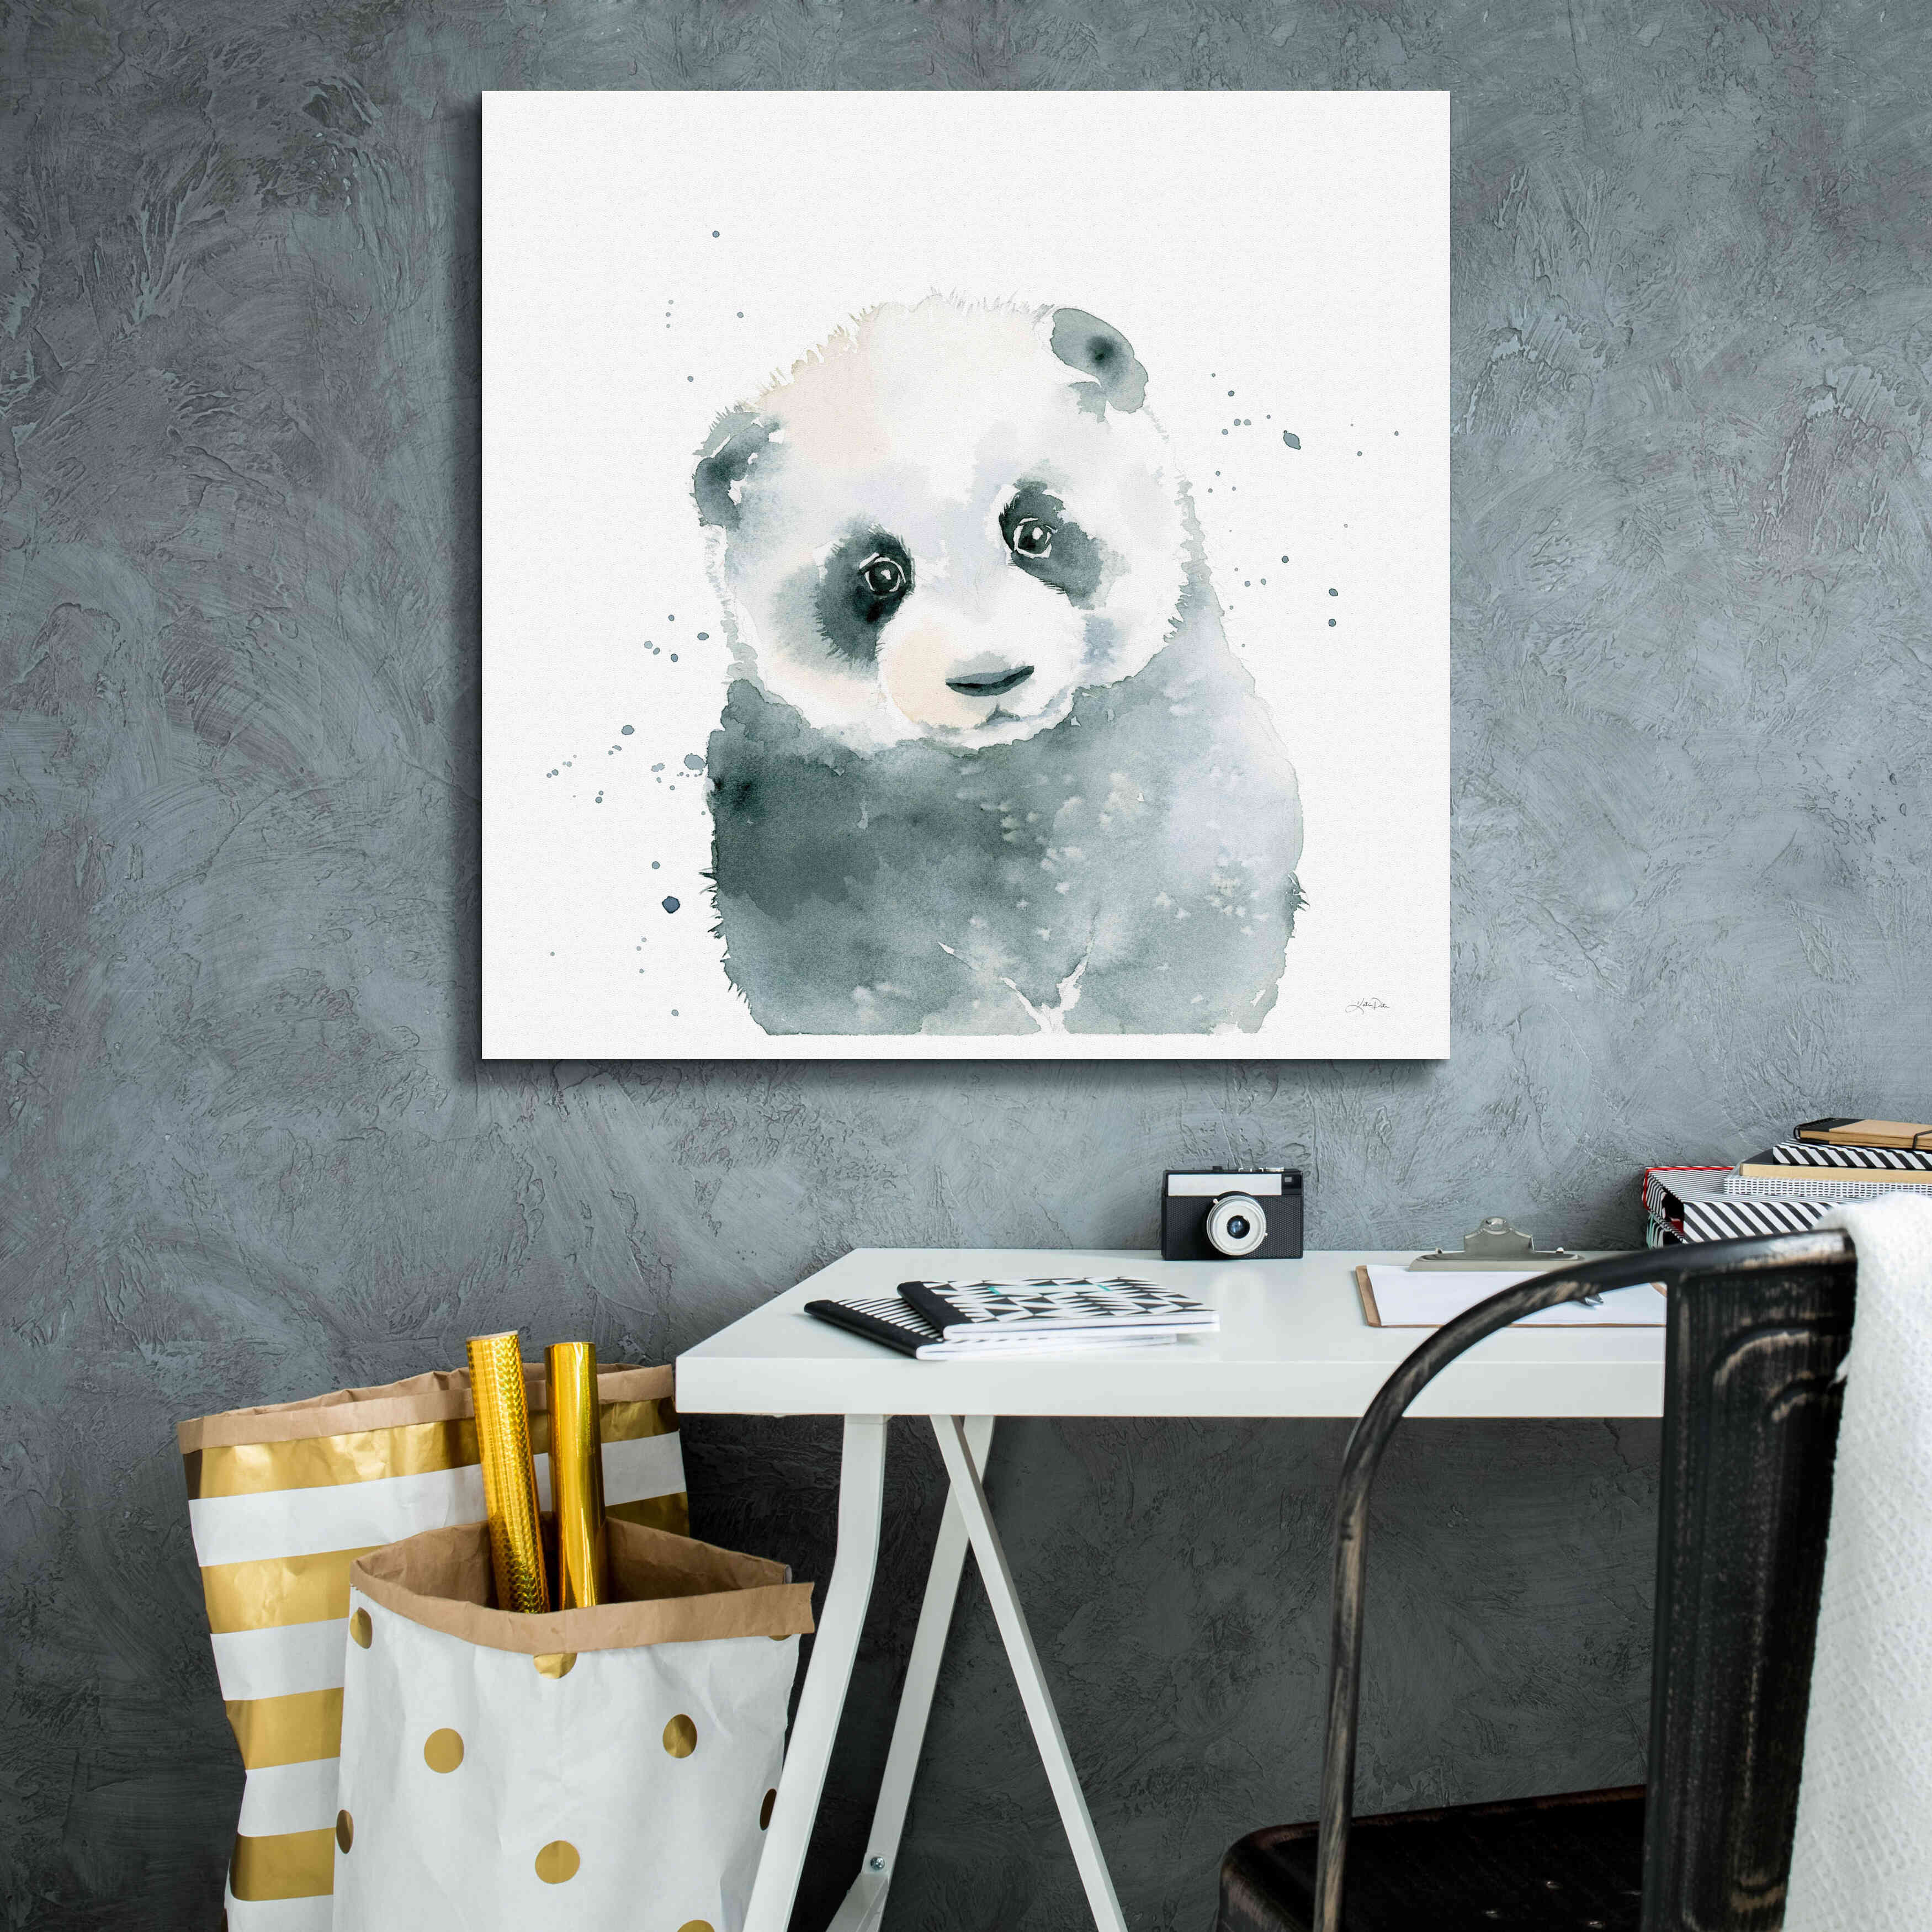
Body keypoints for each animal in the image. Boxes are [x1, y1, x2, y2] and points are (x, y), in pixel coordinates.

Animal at [691, 296, 1303, 1036]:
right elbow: (845, 970)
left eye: (1033, 531)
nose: (990, 679)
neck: (1004, 776)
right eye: (880, 574)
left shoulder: (1178, 741)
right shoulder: (793, 807)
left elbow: (1198, 915)